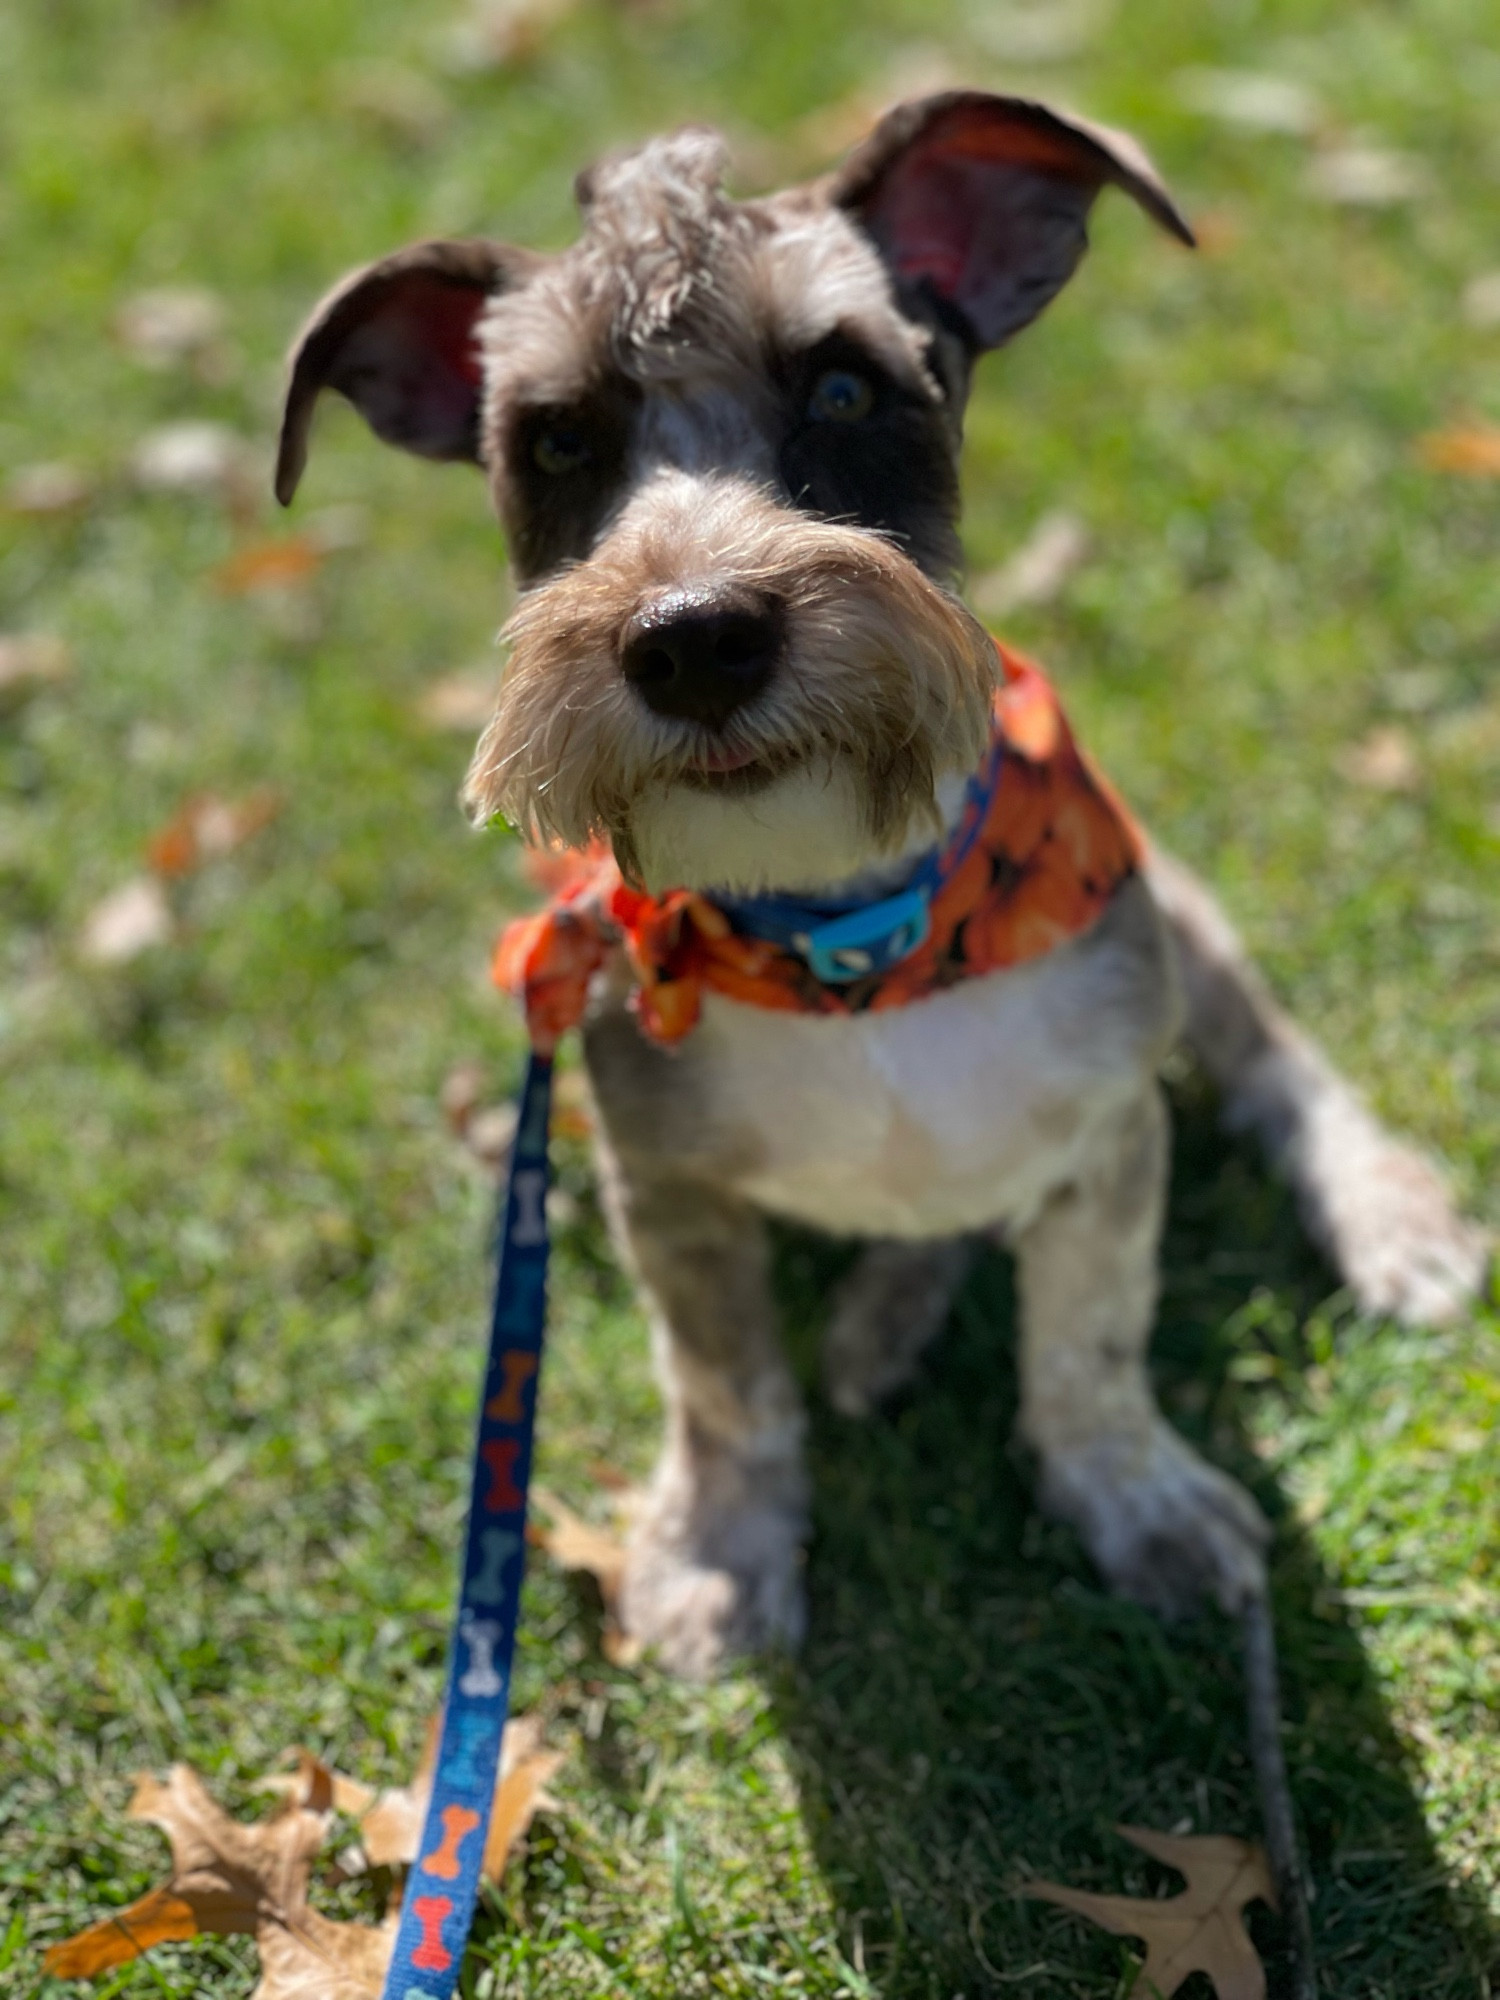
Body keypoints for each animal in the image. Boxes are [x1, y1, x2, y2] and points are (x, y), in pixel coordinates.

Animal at [276, 101, 1488, 1680]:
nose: (694, 636)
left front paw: (1139, 1502)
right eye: (556, 439)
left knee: (1280, 1063)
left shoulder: (1111, 1134)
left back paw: (1388, 1217)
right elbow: (725, 1390)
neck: (848, 933)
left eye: (846, 389)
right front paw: (722, 1553)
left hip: (1183, 918)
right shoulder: (668, 1190)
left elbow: (1089, 1346)